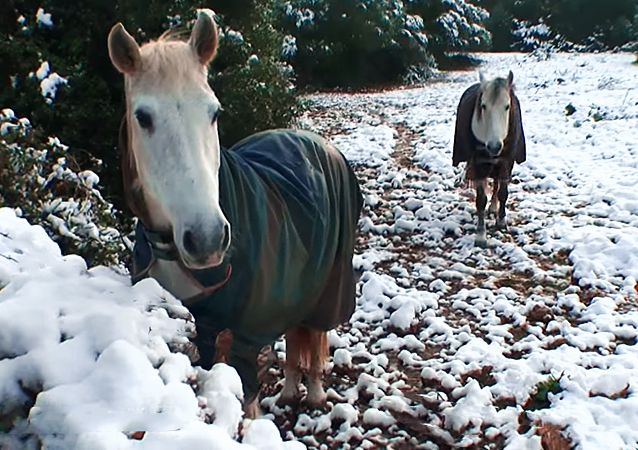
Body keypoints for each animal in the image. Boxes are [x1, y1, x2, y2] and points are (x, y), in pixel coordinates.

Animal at [107, 14, 362, 416]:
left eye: (214, 112)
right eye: (142, 117)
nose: (207, 239)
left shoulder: (247, 334)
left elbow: (247, 395)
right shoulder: (207, 325)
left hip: (327, 285)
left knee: (313, 331)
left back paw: (314, 393)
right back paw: (290, 390)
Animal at [452, 71, 528, 246]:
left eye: (507, 106)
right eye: (483, 106)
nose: (494, 146)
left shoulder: (507, 161)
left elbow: (503, 193)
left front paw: (502, 221)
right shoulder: (479, 163)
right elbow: (480, 200)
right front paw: (481, 235)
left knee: (496, 184)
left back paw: (494, 208)